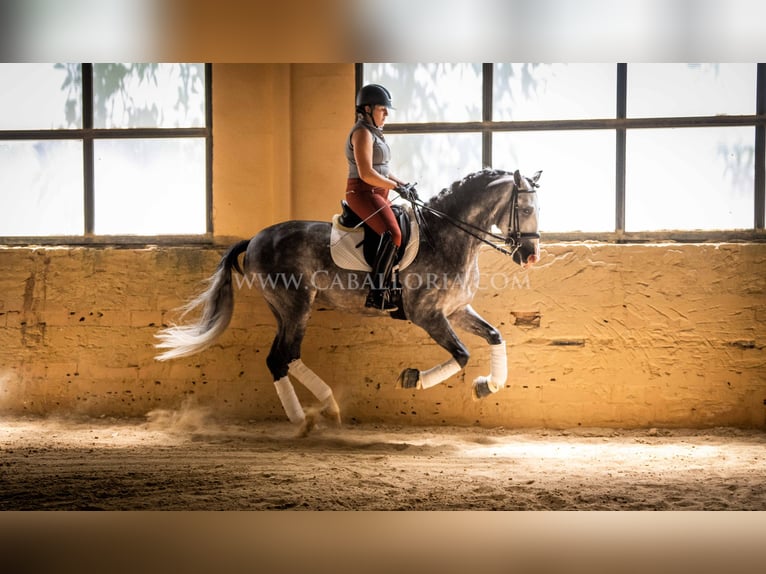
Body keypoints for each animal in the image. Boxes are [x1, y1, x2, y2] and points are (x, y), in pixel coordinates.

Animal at [154, 170, 540, 436]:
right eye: (524, 208)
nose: (531, 255)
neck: (445, 237)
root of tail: (256, 238)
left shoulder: (456, 310)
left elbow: (494, 336)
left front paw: (486, 386)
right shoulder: (428, 315)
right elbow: (461, 354)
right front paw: (413, 379)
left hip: (284, 309)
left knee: (286, 356)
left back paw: (327, 408)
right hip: (296, 306)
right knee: (281, 357)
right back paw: (304, 420)